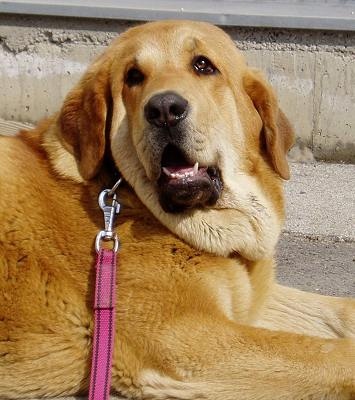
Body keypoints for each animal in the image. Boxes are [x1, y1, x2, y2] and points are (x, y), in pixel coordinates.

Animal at [0, 19, 355, 400]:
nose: (164, 110)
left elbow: (340, 311)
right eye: (133, 76)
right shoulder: (193, 339)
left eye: (203, 65)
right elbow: (331, 353)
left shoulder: (249, 302)